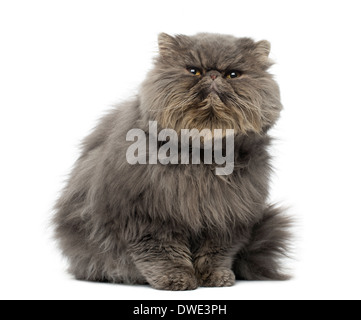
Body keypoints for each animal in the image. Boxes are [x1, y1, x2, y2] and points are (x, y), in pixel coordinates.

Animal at [54, 33, 290, 292]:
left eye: (233, 74)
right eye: (194, 71)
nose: (213, 75)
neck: (203, 156)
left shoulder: (226, 219)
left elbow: (216, 254)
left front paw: (215, 277)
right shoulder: (149, 217)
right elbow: (164, 254)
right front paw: (176, 279)